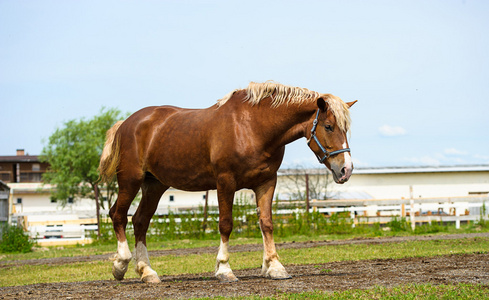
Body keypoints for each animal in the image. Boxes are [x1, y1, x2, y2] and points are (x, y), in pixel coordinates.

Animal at [98, 81, 354, 284]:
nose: (346, 169)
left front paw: (274, 267)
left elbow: (267, 223)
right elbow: (226, 224)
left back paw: (147, 272)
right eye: (328, 126)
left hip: (155, 185)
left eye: (345, 129)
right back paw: (121, 264)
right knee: (118, 215)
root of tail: (126, 123)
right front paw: (224, 269)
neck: (253, 127)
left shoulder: (267, 182)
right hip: (131, 180)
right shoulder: (225, 182)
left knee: (140, 221)